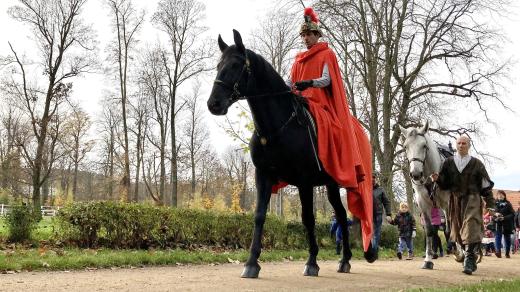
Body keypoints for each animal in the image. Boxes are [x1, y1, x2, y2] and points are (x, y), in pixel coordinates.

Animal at [206, 29, 374, 278]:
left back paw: (345, 260)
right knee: (341, 214)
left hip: (335, 181)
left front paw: (312, 261)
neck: (277, 127)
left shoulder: (304, 180)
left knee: (342, 215)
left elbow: (308, 218)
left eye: (236, 65)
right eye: (219, 65)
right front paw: (251, 263)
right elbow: (259, 216)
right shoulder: (263, 176)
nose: (214, 104)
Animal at [398, 121, 456, 270]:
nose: (415, 174)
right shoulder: (423, 204)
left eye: (424, 146)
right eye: (406, 146)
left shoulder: (447, 203)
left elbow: (450, 228)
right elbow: (430, 231)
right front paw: (428, 260)